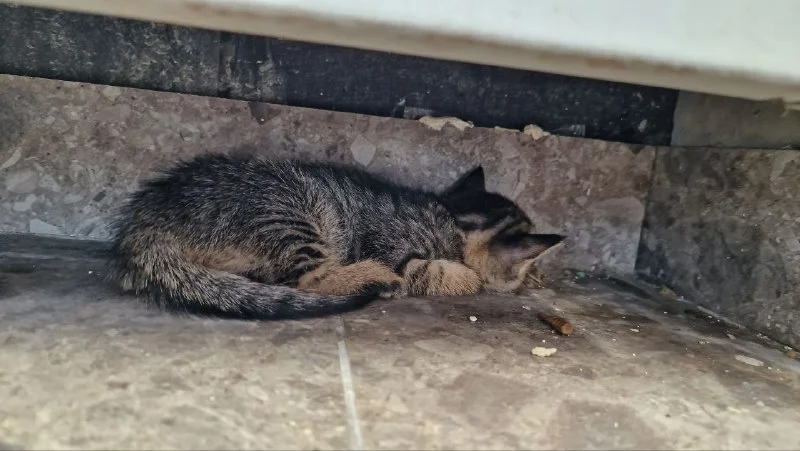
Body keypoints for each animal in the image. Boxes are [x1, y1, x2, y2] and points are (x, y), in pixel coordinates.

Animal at [107, 154, 565, 319]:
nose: (535, 277)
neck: (449, 216)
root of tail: (146, 222)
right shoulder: (400, 250)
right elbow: (437, 273)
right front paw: (466, 278)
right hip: (292, 211)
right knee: (307, 280)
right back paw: (373, 278)